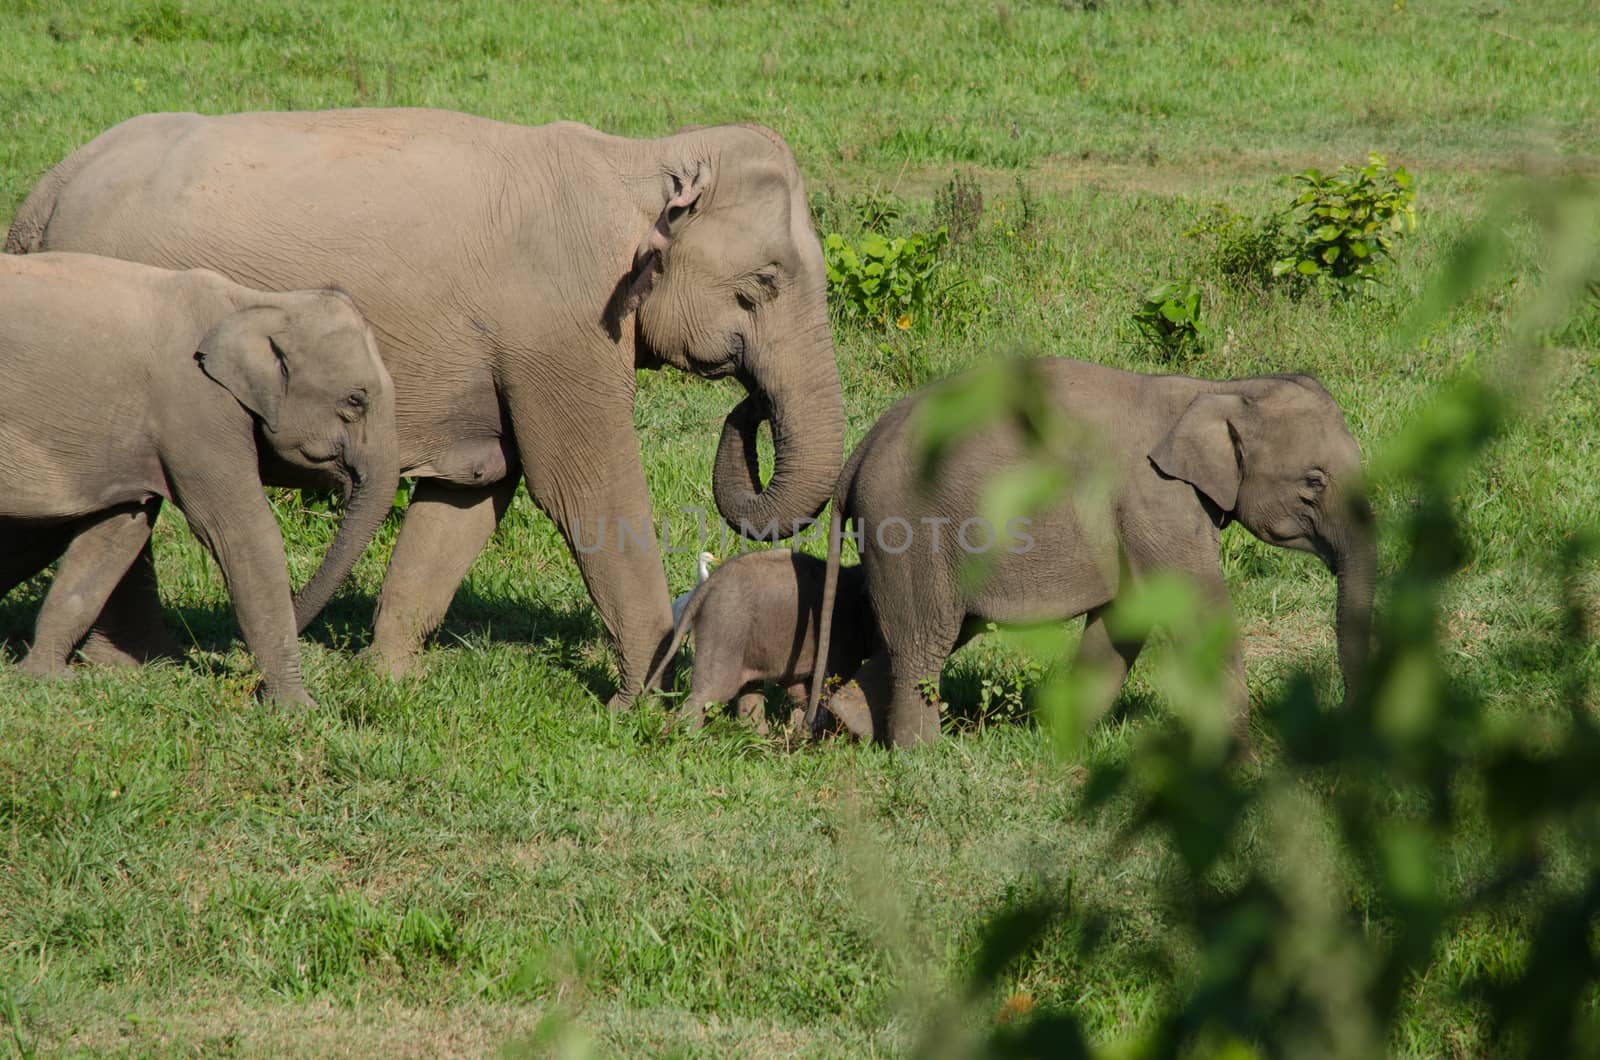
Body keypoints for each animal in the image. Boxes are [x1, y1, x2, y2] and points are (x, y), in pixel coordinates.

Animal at [0, 252, 400, 710]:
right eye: (356, 400)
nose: (233, 655)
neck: (254, 303)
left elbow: (117, 534)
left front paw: (46, 678)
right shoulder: (197, 410)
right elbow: (242, 533)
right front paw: (299, 710)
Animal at [646, 550, 883, 736]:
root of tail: (705, 587)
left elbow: (800, 690)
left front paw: (801, 731)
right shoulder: (841, 638)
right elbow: (831, 682)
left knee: (749, 687)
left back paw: (757, 737)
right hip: (725, 628)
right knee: (714, 690)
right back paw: (689, 737)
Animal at [812, 361, 1376, 752]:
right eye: (1313, 481)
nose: (1344, 724)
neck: (1213, 389)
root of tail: (856, 456)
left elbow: (1125, 619)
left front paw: (1059, 741)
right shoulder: (1155, 501)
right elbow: (1192, 612)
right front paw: (1242, 759)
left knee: (939, 631)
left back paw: (851, 723)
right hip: (910, 531)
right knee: (925, 640)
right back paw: (922, 755)